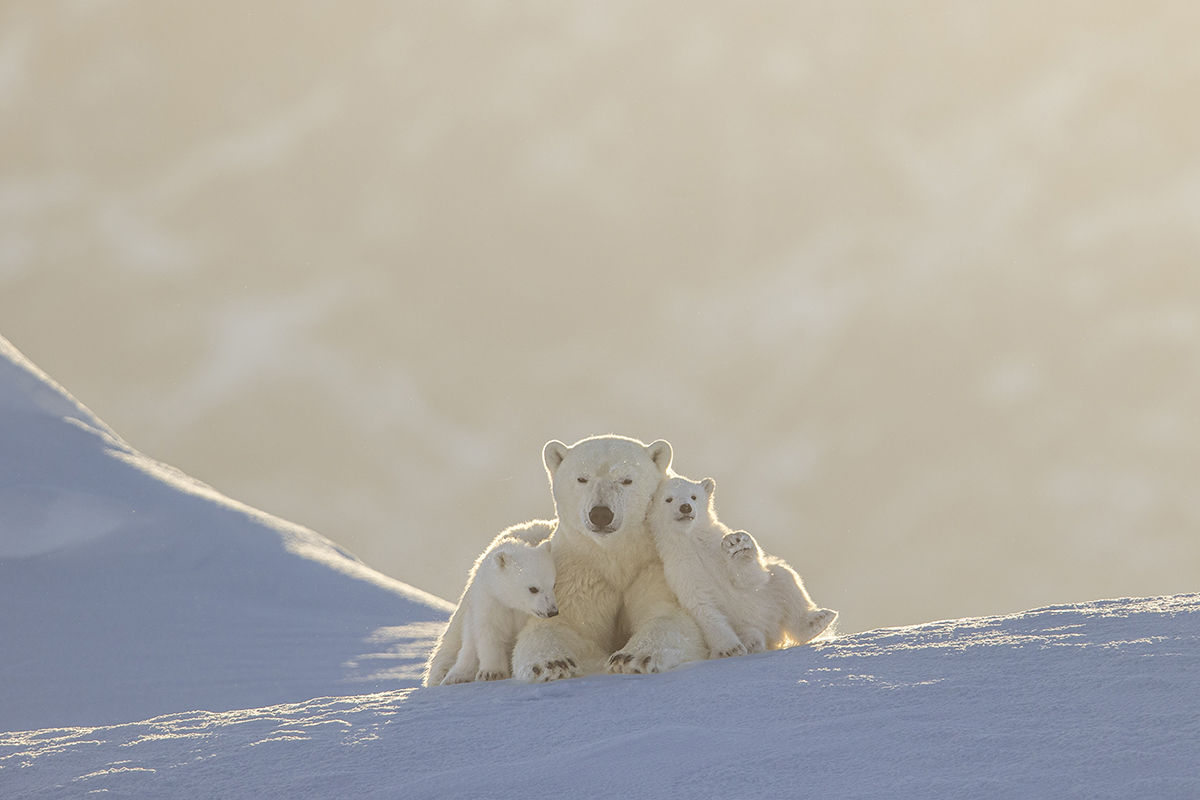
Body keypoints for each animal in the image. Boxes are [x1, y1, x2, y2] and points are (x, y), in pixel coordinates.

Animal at [423, 527, 558, 687]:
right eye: (533, 589)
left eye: (553, 585)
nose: (552, 611)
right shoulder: (490, 599)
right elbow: (489, 631)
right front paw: (491, 673)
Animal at [509, 435, 709, 682]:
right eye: (582, 478)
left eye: (626, 480)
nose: (601, 514)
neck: (615, 555)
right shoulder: (577, 574)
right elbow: (559, 625)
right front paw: (552, 664)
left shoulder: (653, 567)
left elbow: (668, 615)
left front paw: (631, 657)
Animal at [648, 475, 837, 658]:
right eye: (668, 499)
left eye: (694, 496)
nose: (686, 507)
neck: (691, 539)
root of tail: (773, 633)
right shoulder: (680, 568)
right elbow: (702, 605)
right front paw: (729, 649)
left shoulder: (715, 547)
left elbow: (745, 578)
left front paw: (737, 544)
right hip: (742, 624)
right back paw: (752, 642)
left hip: (769, 596)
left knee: (785, 579)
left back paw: (816, 621)